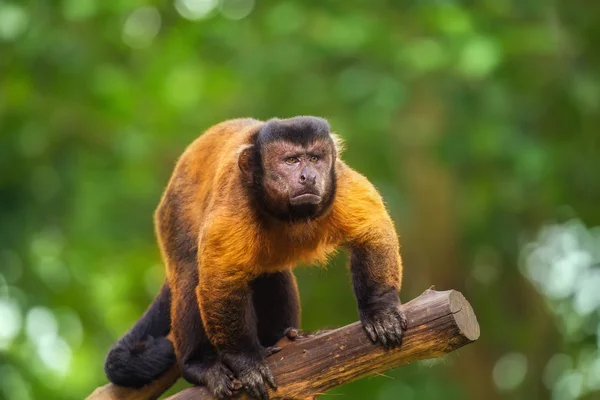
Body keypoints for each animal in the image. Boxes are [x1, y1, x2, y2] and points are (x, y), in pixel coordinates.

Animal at [104, 116, 408, 400]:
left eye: (315, 158)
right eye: (291, 160)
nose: (308, 176)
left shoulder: (339, 182)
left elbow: (372, 232)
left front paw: (379, 310)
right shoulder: (236, 200)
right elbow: (219, 280)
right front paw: (245, 361)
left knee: (269, 274)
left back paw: (282, 336)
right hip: (172, 217)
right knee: (190, 272)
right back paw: (198, 364)